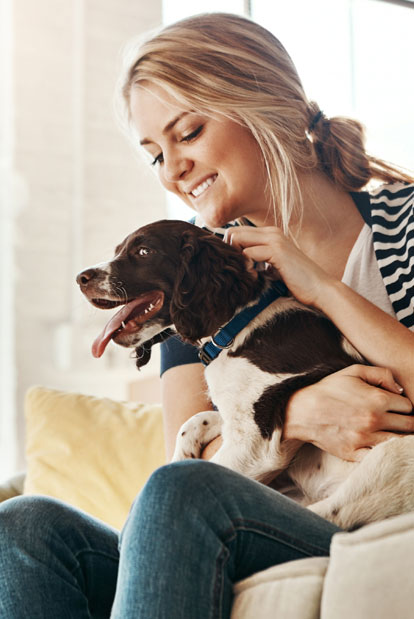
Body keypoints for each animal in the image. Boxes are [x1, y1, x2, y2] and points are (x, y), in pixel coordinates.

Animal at [77, 218, 414, 528]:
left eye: (144, 251)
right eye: (118, 250)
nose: (80, 278)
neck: (237, 327)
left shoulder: (254, 444)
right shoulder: (236, 414)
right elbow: (194, 422)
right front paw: (181, 455)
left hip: (392, 456)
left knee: (332, 518)